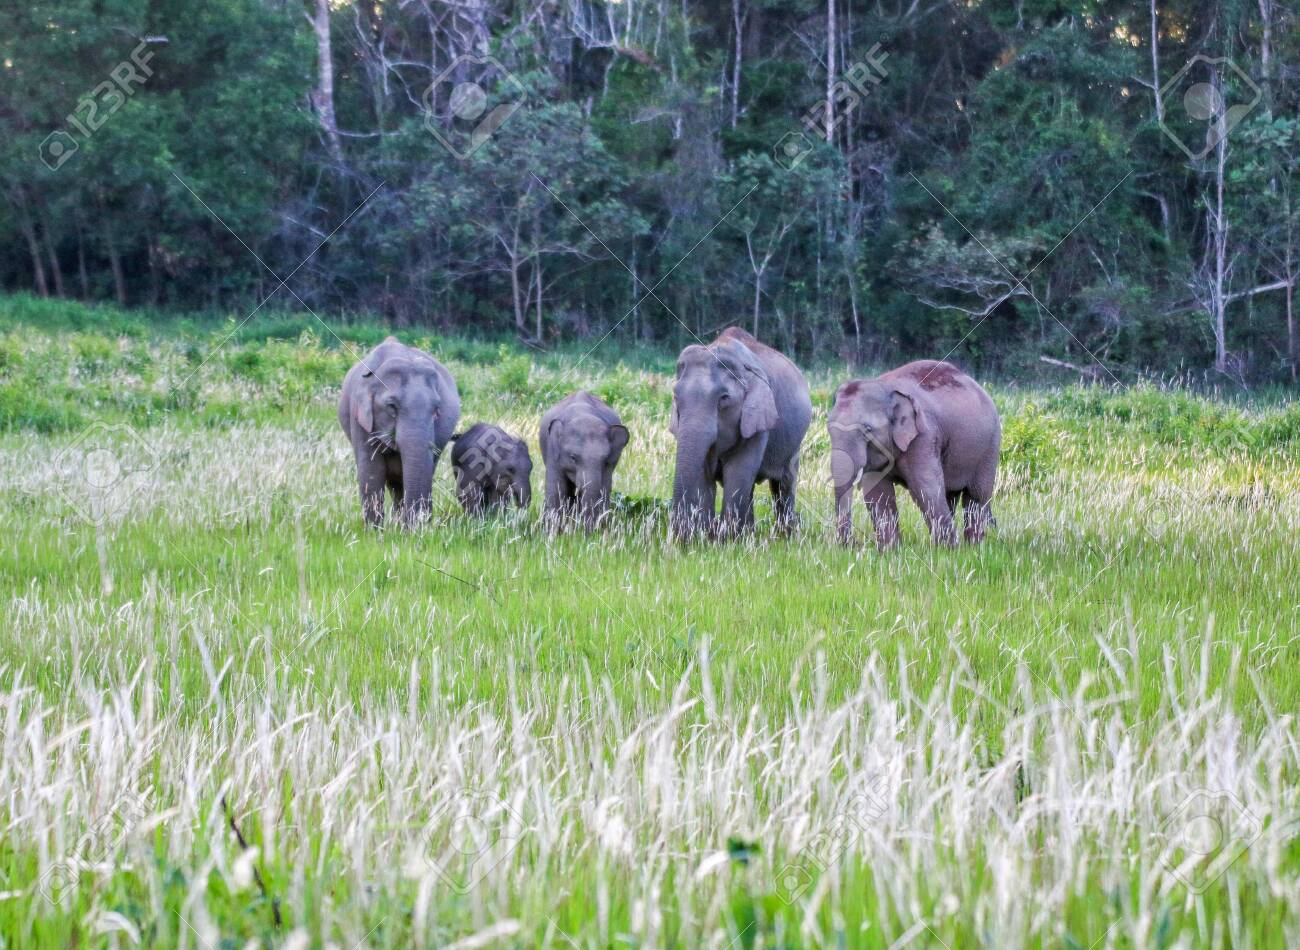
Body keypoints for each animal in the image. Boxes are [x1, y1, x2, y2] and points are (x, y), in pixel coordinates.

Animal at [338, 336, 460, 527]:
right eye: (391, 406)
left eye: (436, 410)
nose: (417, 527)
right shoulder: (358, 416)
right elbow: (371, 469)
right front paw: (373, 531)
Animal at [539, 391, 629, 528]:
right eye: (573, 457)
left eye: (605, 460)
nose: (588, 532)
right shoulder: (552, 451)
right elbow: (556, 489)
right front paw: (551, 530)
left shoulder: (612, 462)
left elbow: (605, 488)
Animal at [669, 326, 812, 539]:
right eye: (676, 397)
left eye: (724, 398)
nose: (679, 536)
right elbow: (705, 474)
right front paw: (706, 537)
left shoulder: (759, 420)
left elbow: (738, 471)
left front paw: (724, 539)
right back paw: (749, 533)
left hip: (794, 444)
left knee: (783, 484)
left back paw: (785, 536)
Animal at [828, 360, 1000, 548]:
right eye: (828, 427)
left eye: (867, 430)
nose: (854, 543)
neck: (885, 387)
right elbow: (878, 493)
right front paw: (891, 550)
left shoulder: (924, 436)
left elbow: (925, 489)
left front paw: (948, 550)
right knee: (950, 495)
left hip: (990, 446)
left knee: (976, 496)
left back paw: (974, 547)